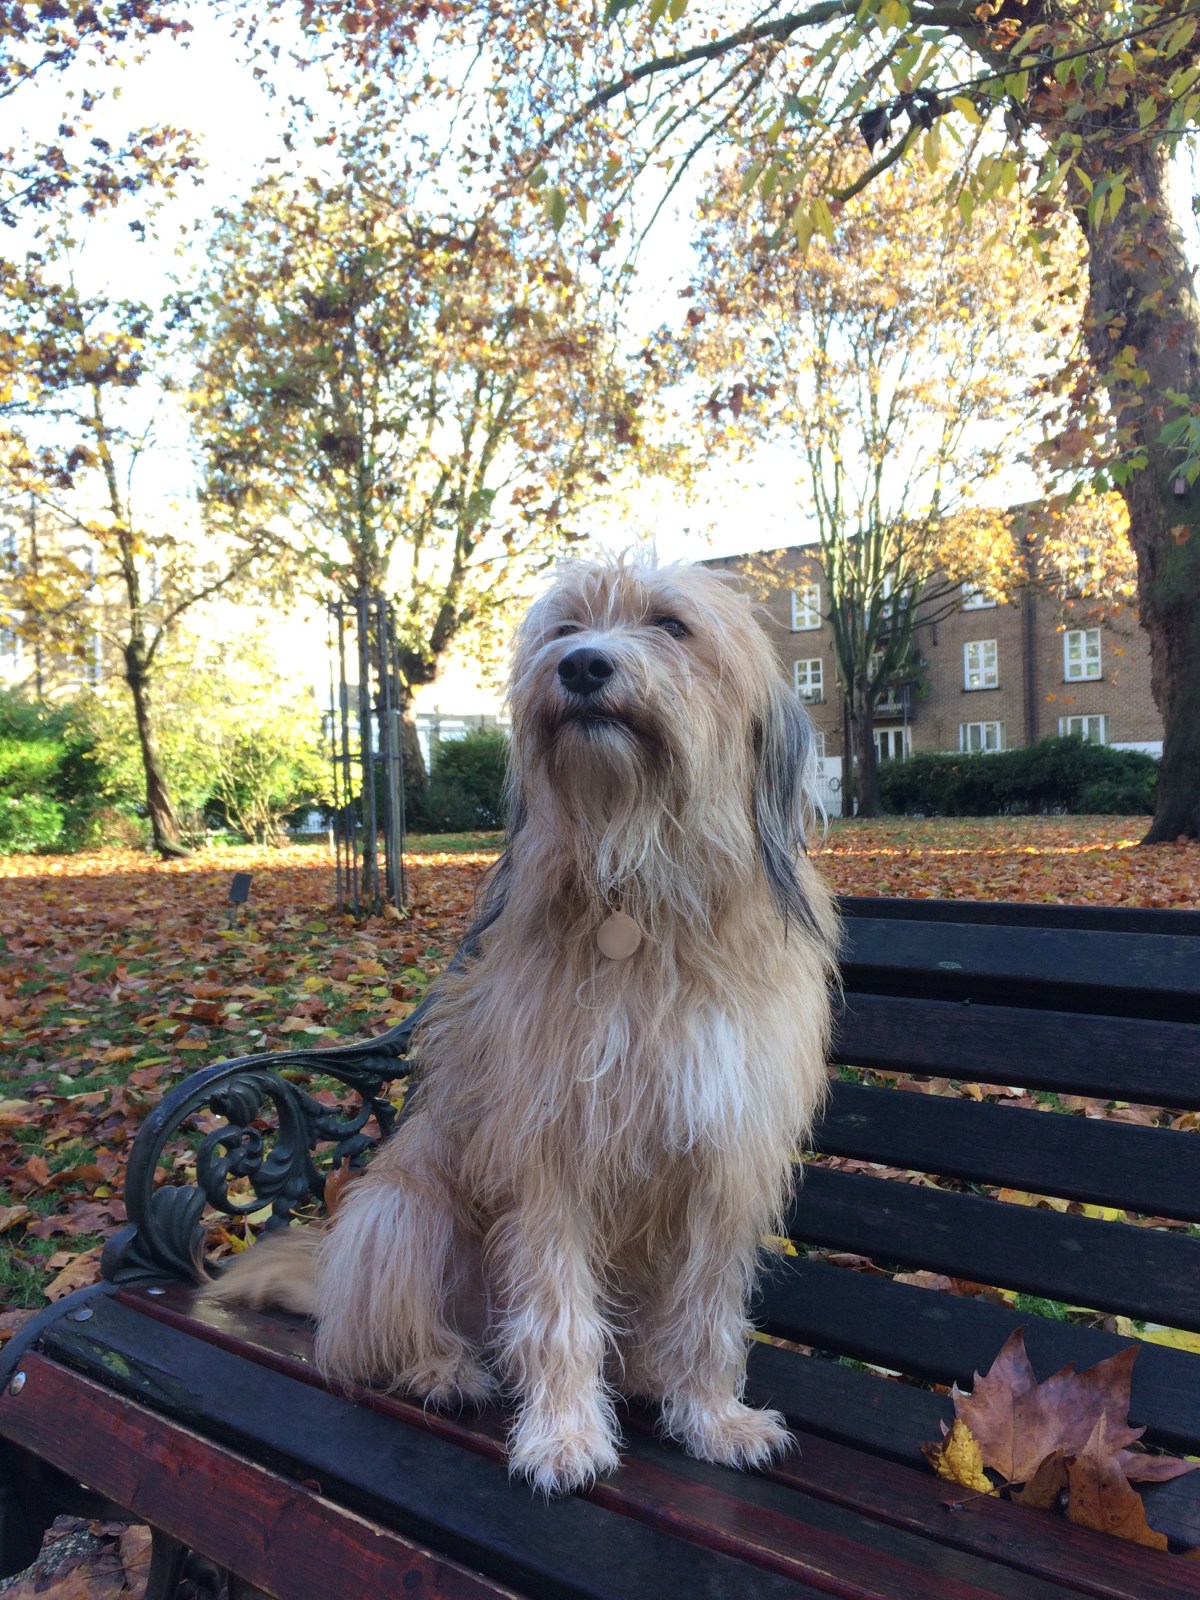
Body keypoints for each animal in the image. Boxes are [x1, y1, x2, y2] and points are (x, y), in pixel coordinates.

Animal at [206, 558, 839, 1495]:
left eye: (670, 625)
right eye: (566, 626)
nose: (581, 666)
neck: (637, 893)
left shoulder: (725, 1159)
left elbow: (709, 1307)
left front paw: (712, 1417)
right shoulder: (553, 1147)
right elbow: (555, 1309)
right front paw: (566, 1435)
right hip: (402, 1211)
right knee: (376, 1336)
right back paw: (442, 1366)